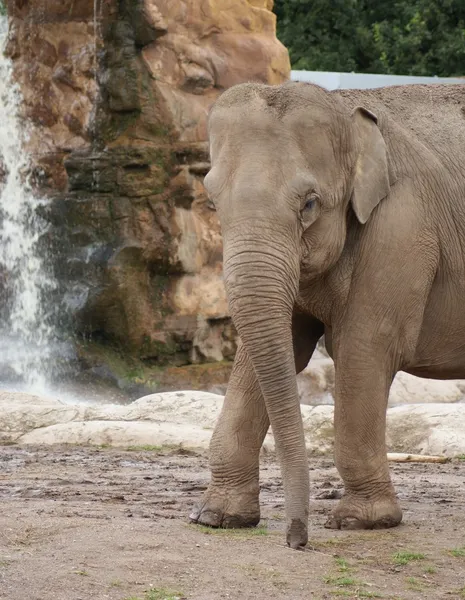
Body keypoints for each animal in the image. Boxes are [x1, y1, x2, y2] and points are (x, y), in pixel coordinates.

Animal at [188, 79, 464, 548]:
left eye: (310, 204)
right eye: (212, 201)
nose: (297, 540)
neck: (347, 109)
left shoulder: (404, 227)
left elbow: (363, 347)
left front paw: (362, 521)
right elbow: (277, 348)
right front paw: (216, 517)